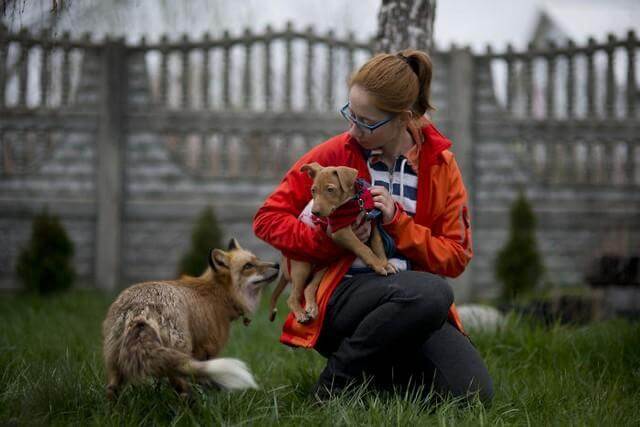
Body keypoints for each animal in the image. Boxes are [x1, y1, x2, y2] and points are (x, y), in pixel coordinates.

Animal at [102, 239, 278, 400]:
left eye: (257, 259)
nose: (277, 264)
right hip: (182, 352)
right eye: (248, 266)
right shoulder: (208, 348)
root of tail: (141, 308)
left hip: (115, 362)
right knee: (181, 387)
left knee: (111, 390)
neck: (218, 294)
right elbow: (204, 378)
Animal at [268, 162, 396, 322]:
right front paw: (379, 265)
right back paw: (301, 314)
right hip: (301, 266)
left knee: (309, 288)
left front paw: (385, 264)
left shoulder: (372, 223)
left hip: (323, 268)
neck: (353, 202)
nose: (315, 213)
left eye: (330, 189)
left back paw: (312, 308)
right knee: (293, 297)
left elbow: (378, 246)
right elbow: (363, 248)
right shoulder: (340, 232)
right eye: (313, 190)